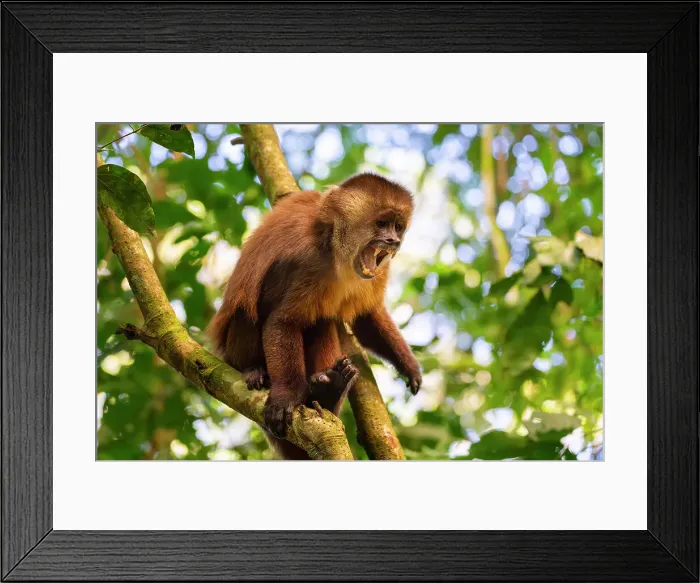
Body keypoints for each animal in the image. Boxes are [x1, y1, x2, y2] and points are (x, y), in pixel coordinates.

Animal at [209, 172, 422, 459]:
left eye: (398, 227)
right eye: (382, 224)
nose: (394, 242)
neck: (334, 244)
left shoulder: (379, 270)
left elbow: (365, 317)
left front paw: (409, 366)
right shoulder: (306, 260)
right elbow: (281, 321)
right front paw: (286, 397)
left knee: (322, 321)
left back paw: (328, 392)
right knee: (250, 309)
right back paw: (253, 370)